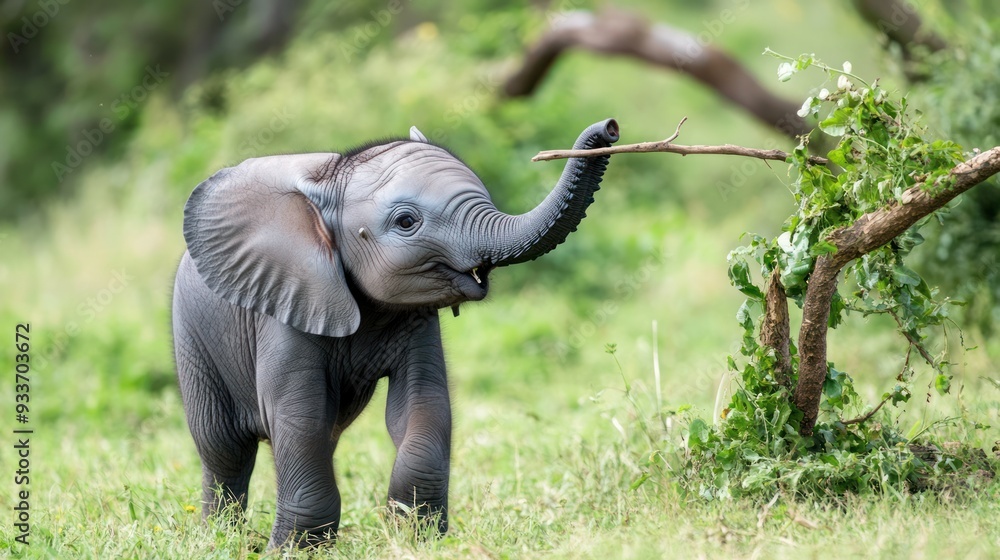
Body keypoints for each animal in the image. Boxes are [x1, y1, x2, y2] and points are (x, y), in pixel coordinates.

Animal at [171, 118, 619, 548]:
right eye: (406, 222)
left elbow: (423, 405)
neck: (328, 180)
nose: (610, 128)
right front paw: (293, 550)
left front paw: (418, 539)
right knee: (224, 448)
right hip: (191, 338)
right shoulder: (287, 304)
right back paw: (219, 537)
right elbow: (300, 418)